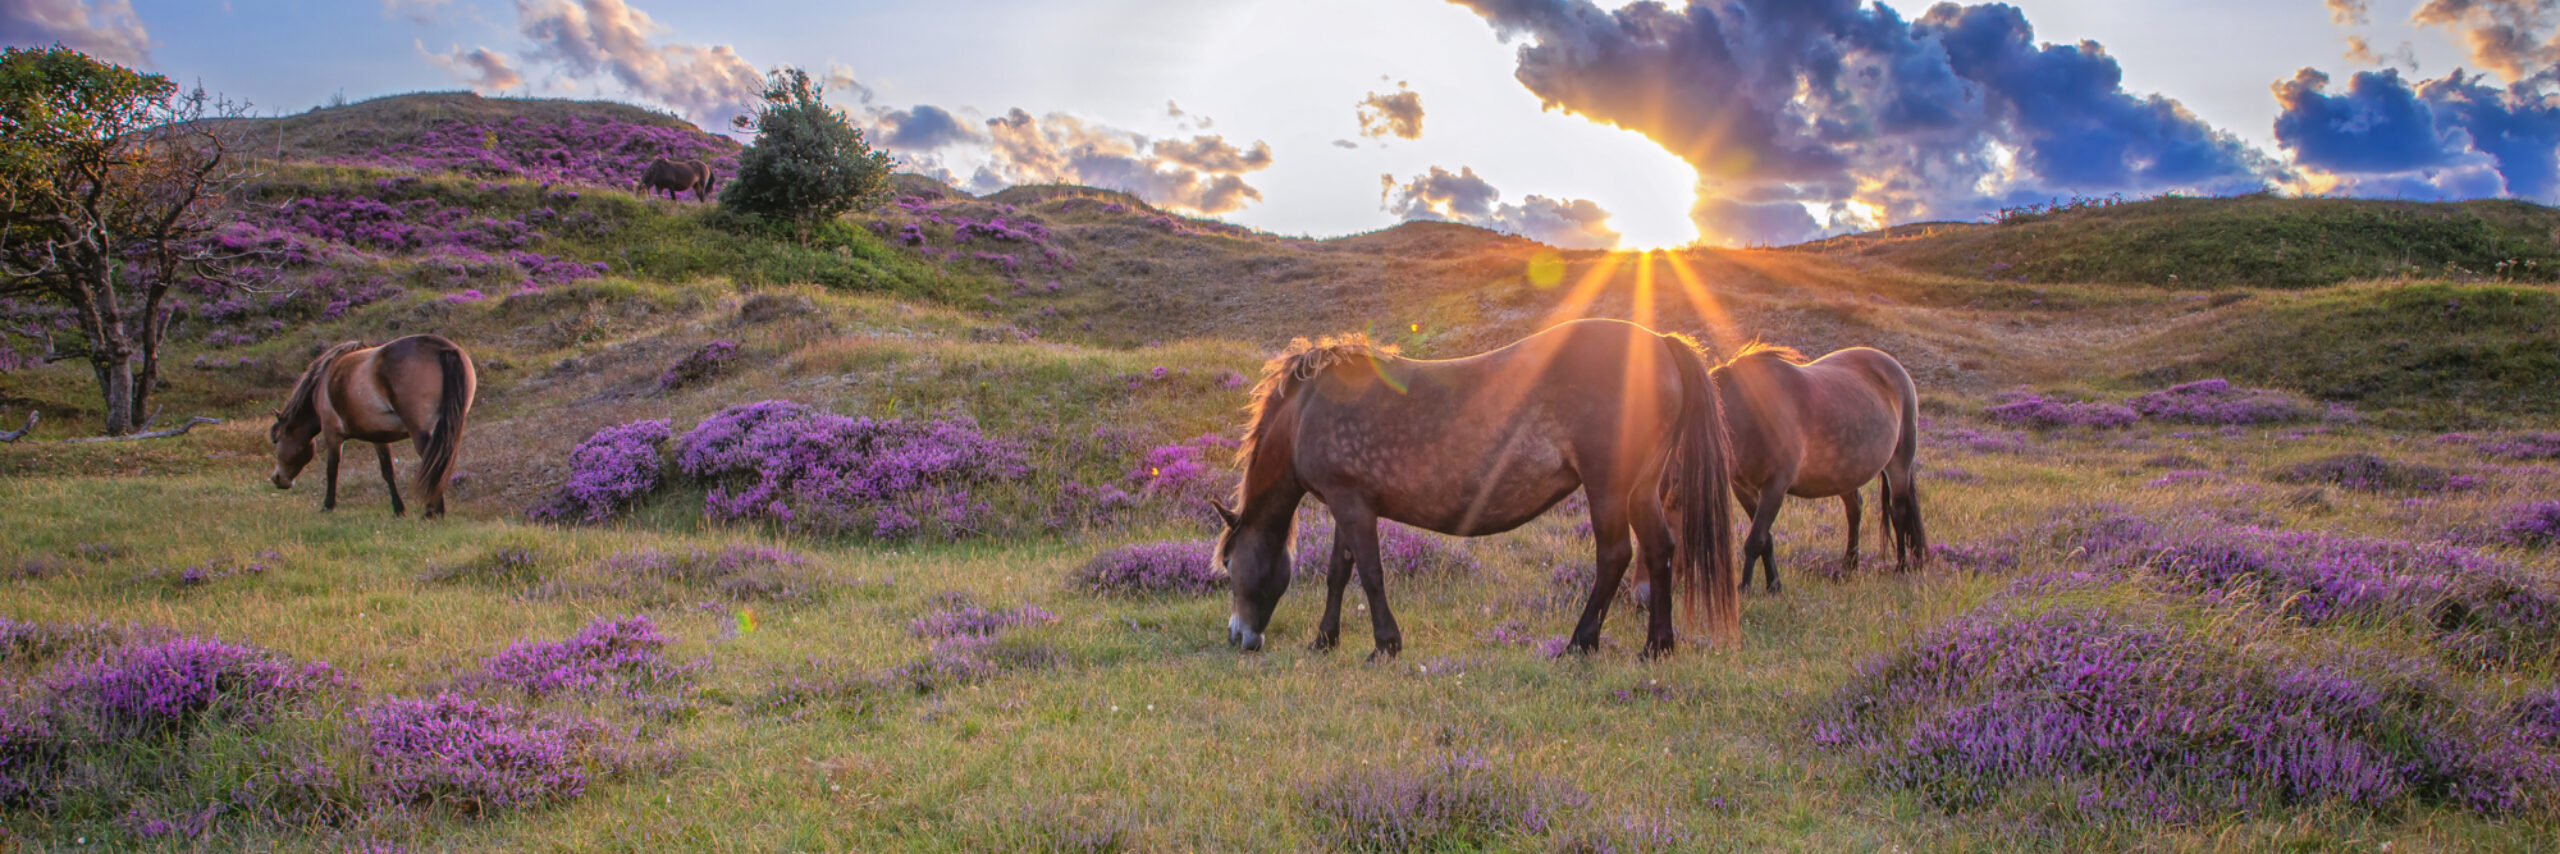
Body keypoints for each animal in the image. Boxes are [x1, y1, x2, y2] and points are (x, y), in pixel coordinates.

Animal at [269, 335, 477, 519]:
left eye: (277, 440)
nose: (277, 479)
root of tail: (443, 348)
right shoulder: (379, 436)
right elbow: (387, 472)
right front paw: (398, 510)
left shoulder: (332, 434)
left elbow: (332, 469)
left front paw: (327, 506)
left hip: (421, 431)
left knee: (433, 462)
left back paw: (432, 511)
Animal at [1213, 318, 1741, 660]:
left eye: (1229, 564)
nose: (1239, 636)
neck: (1306, 410)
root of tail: (1662, 345)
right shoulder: (1349, 504)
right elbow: (1339, 574)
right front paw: (1325, 640)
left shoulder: (1351, 504)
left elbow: (1370, 574)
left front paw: (1385, 645)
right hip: (1640, 489)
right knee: (1659, 549)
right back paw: (1656, 646)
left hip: (1608, 487)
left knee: (1614, 556)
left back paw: (1579, 643)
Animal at [1710, 343, 1926, 592]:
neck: (1747, 414)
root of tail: (1896, 368)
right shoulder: (1743, 488)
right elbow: (1766, 539)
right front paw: (1774, 585)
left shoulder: (1775, 487)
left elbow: (1756, 540)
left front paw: (1745, 587)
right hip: (1846, 473)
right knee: (1854, 509)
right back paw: (1849, 566)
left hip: (1899, 465)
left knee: (1898, 514)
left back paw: (1901, 567)